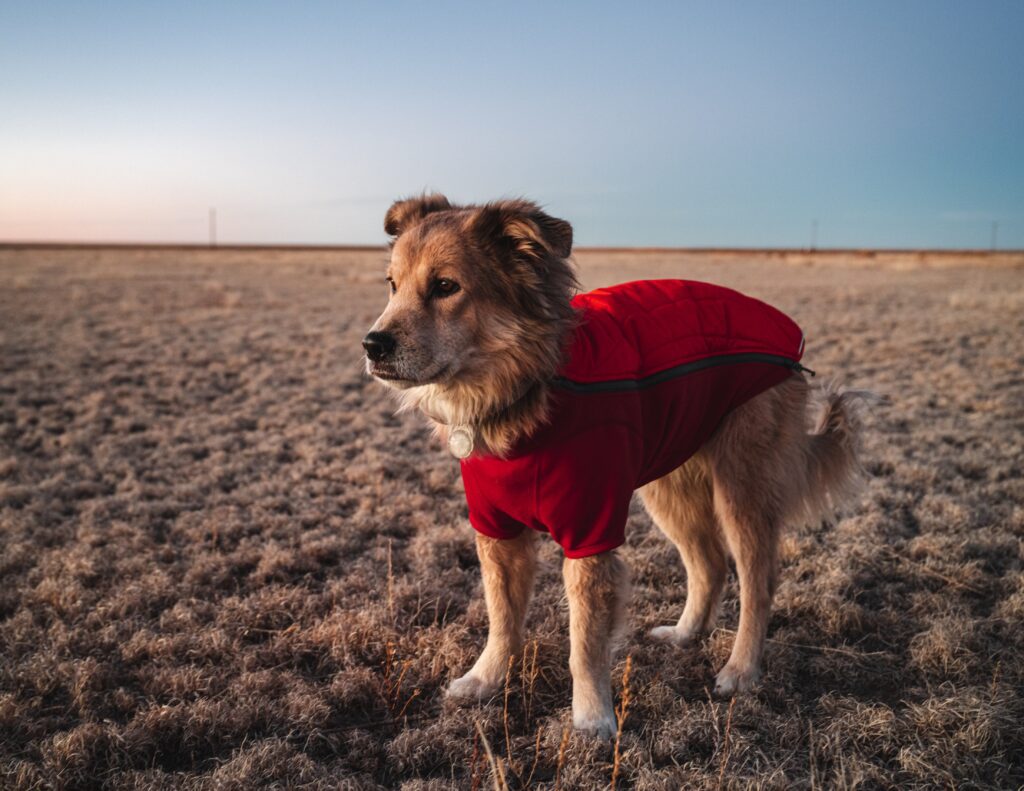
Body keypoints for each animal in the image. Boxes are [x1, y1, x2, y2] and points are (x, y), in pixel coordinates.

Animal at [364, 194, 868, 737]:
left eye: (445, 286)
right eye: (392, 284)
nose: (372, 345)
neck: (525, 388)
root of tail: (785, 330)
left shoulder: (591, 531)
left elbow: (585, 640)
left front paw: (591, 720)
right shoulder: (496, 529)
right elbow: (501, 615)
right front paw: (485, 680)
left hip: (742, 486)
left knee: (759, 580)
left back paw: (740, 670)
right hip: (669, 484)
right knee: (709, 562)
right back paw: (686, 634)